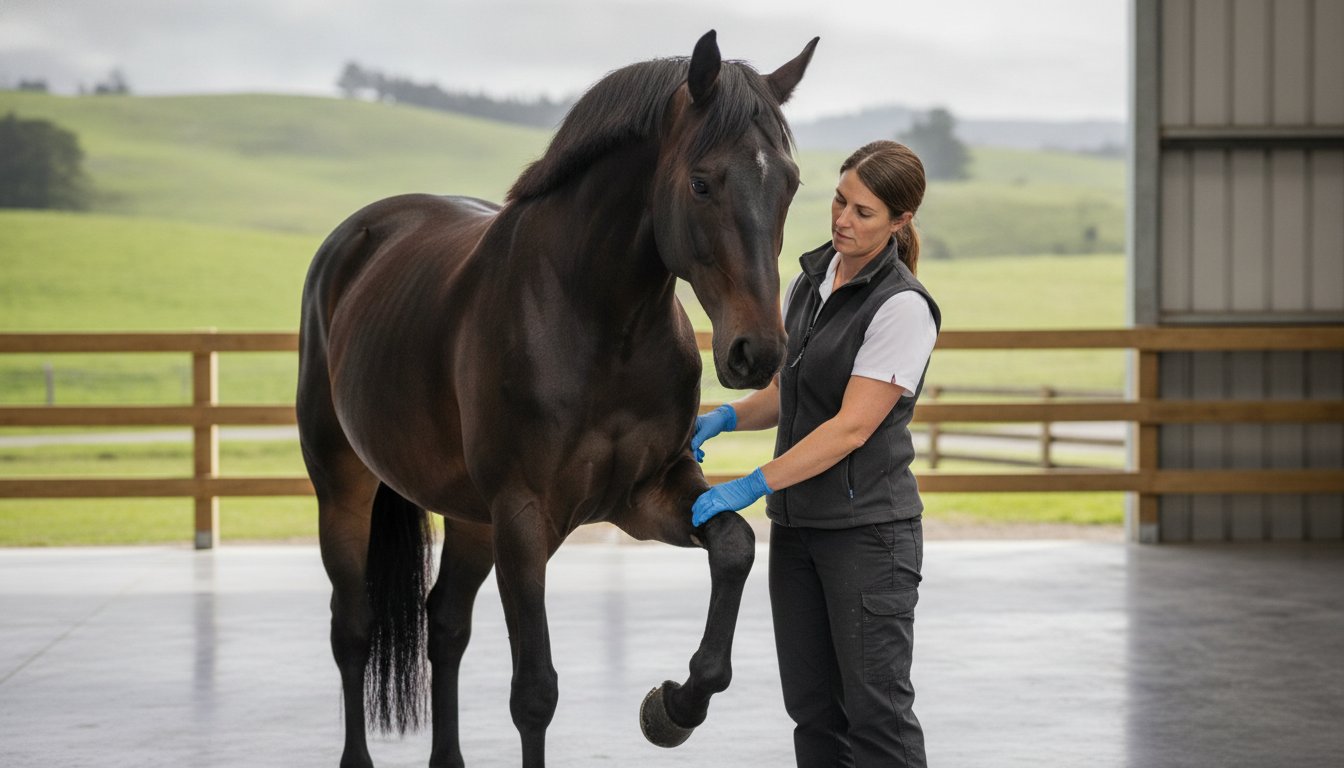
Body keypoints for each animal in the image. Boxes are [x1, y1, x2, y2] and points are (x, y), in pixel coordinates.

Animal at [297, 30, 817, 767]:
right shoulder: (523, 519)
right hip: (345, 489)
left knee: (444, 626)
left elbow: (736, 546)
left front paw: (675, 706)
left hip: (471, 519)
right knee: (353, 628)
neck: (597, 320)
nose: (759, 352)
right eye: (701, 181)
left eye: (789, 184)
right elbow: (535, 692)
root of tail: (360, 237)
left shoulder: (647, 495)